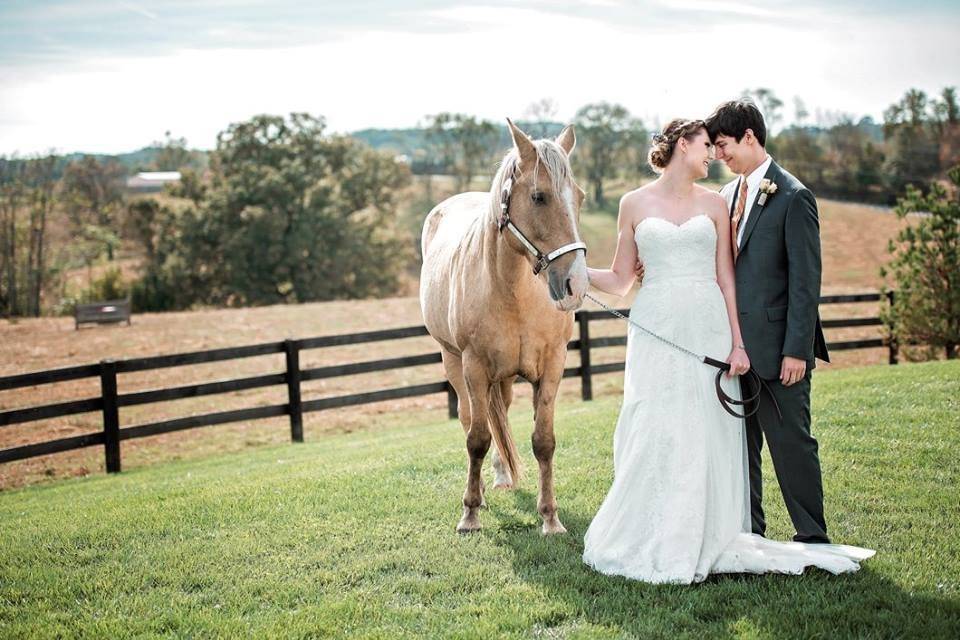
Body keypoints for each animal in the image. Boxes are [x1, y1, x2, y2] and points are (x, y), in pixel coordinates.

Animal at [418, 120, 588, 536]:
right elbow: (477, 438)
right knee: (471, 419)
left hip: (506, 376)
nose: (576, 284)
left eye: (579, 197)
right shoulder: (475, 367)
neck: (512, 292)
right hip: (454, 362)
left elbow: (543, 441)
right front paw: (470, 514)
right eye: (540, 197)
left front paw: (550, 518)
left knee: (503, 416)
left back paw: (501, 476)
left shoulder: (553, 364)